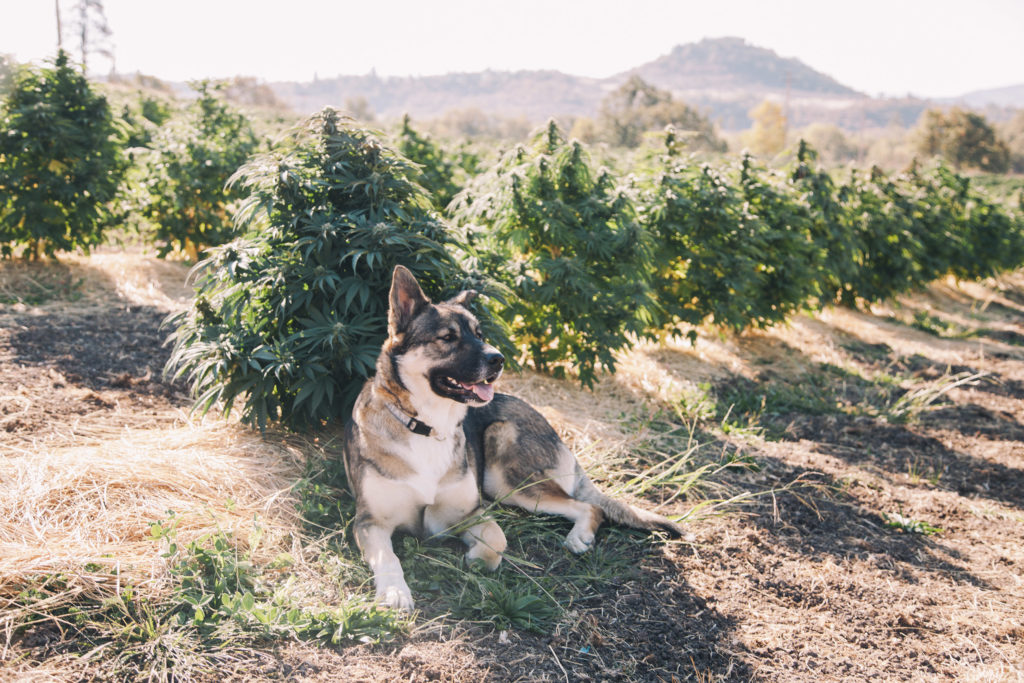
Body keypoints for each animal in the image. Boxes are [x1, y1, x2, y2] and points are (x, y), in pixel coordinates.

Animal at [342, 264, 679, 610]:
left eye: (479, 334)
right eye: (448, 337)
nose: (498, 359)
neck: (428, 427)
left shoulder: (469, 514)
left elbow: (497, 540)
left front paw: (477, 559)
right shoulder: (370, 522)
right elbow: (388, 557)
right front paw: (395, 591)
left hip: (507, 474)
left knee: (589, 507)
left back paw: (578, 536)